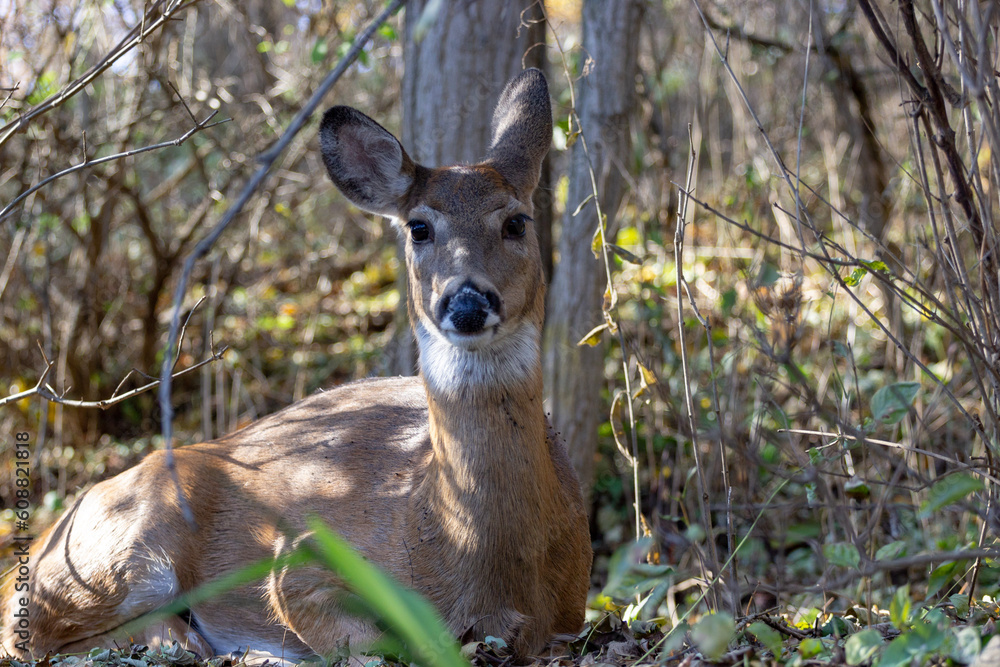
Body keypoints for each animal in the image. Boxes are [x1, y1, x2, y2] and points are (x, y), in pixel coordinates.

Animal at [0, 68, 592, 662]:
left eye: (516, 222)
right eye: (419, 228)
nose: (467, 302)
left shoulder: (570, 612)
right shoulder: (300, 556)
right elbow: (383, 641)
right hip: (128, 544)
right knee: (31, 630)